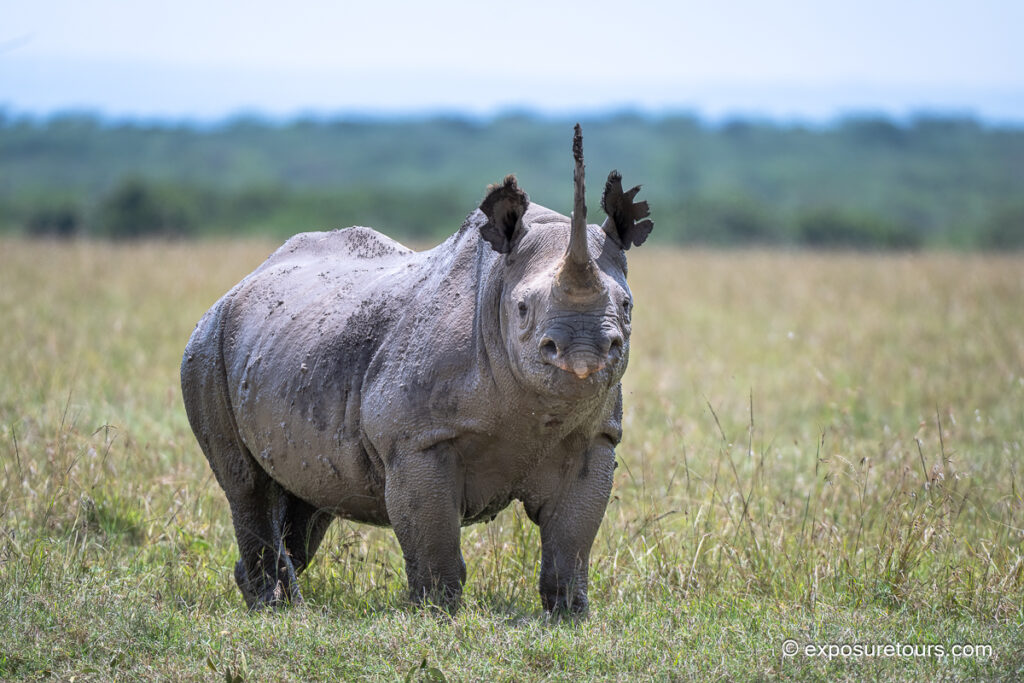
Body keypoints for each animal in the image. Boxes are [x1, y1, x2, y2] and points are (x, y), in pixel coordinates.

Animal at [180, 125, 653, 615]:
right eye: (523, 308)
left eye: (627, 306)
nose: (584, 354)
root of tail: (240, 284)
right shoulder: (415, 438)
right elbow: (433, 537)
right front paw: (437, 611)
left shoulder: (593, 437)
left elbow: (572, 539)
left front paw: (569, 615)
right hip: (207, 346)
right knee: (246, 484)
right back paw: (273, 607)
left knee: (311, 500)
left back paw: (283, 602)